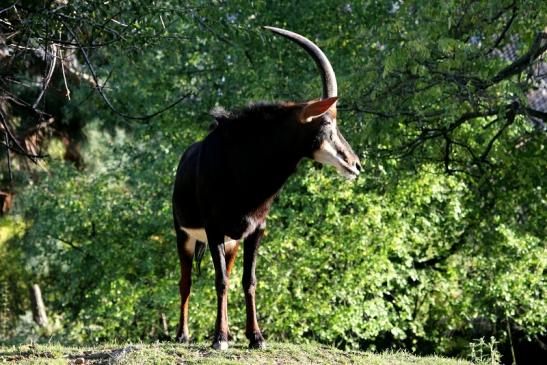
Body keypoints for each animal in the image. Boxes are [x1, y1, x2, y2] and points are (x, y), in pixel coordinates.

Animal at [171, 26, 360, 350]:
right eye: (326, 124)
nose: (356, 164)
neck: (243, 168)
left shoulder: (255, 230)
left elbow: (249, 281)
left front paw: (255, 336)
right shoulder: (213, 228)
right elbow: (220, 281)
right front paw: (219, 338)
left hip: (231, 243)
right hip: (185, 235)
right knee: (186, 281)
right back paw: (183, 334)